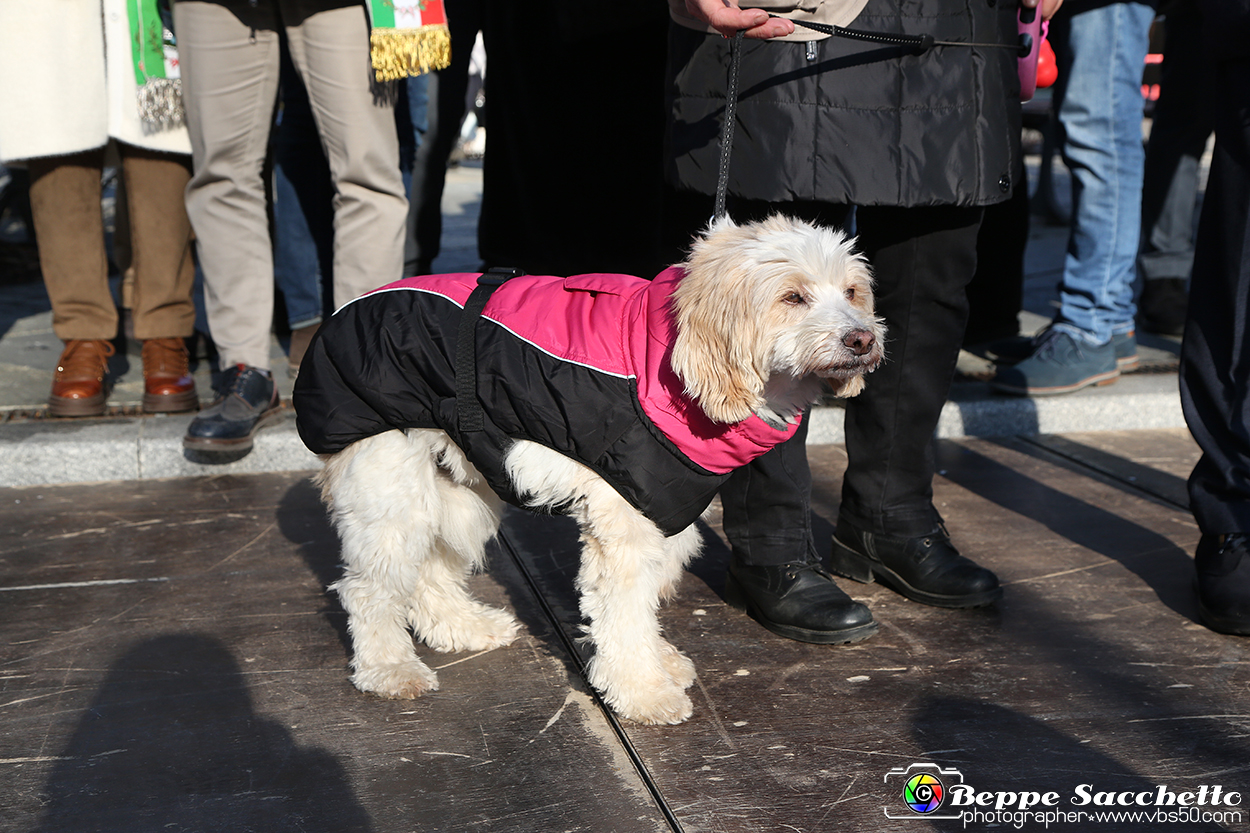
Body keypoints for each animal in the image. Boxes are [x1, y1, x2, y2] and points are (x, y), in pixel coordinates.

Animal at [307, 213, 885, 720]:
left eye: (852, 293)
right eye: (793, 297)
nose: (862, 339)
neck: (665, 360)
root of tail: (340, 317)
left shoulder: (663, 513)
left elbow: (643, 603)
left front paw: (656, 662)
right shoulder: (625, 525)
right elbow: (623, 613)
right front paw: (643, 691)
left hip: (458, 490)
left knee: (429, 570)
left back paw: (464, 628)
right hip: (392, 493)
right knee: (368, 589)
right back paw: (389, 669)